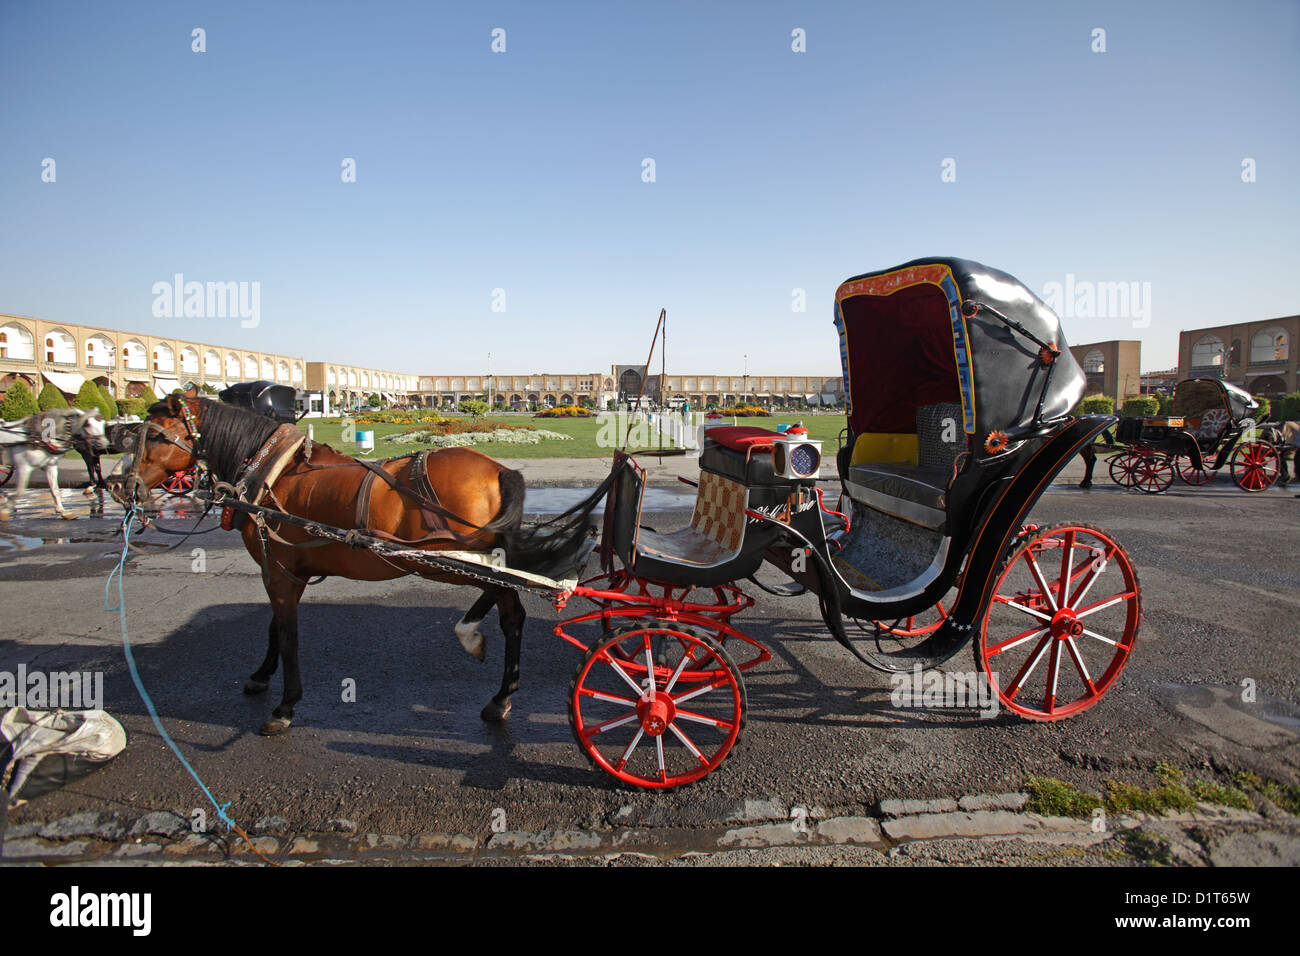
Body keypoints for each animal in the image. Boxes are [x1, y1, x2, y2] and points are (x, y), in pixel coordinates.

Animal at [122, 392, 590, 738]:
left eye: (157, 438)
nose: (123, 485)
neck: (272, 473)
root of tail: (498, 470)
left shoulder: (277, 568)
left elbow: (287, 633)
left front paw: (285, 705)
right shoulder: (284, 568)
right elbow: (274, 626)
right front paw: (260, 676)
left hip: (444, 556)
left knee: (502, 594)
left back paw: (474, 644)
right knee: (511, 610)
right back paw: (499, 693)